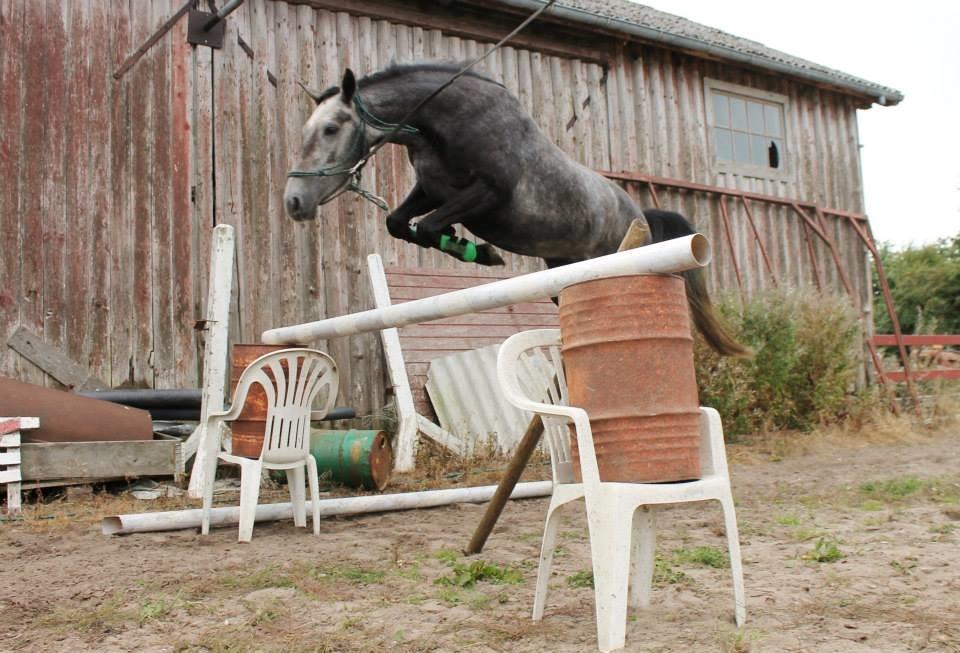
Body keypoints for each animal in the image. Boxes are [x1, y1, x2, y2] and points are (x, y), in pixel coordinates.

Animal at [282, 63, 748, 356]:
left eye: (330, 128)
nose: (293, 202)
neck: (446, 124)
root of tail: (642, 216)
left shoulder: (489, 194)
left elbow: (429, 228)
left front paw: (478, 251)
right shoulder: (431, 189)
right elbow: (399, 222)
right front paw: (469, 248)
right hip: (563, 272)